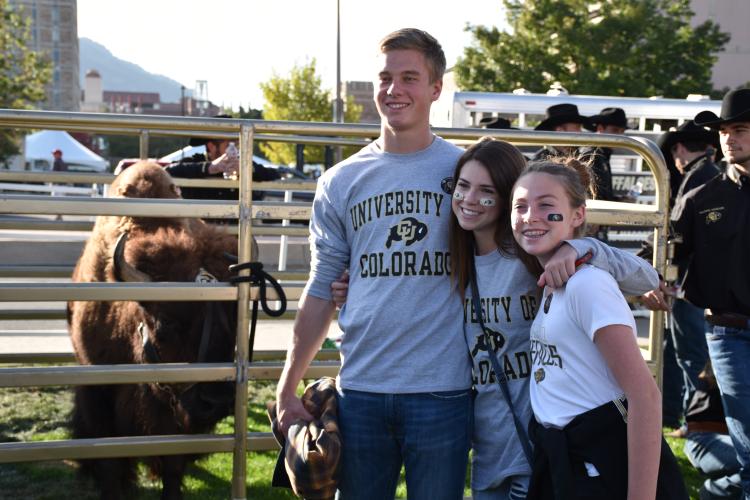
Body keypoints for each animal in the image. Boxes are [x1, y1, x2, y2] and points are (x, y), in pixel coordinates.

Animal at [67, 162, 244, 498]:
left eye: (233, 323)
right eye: (164, 323)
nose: (215, 402)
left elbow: (173, 467)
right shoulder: (97, 392)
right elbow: (109, 462)